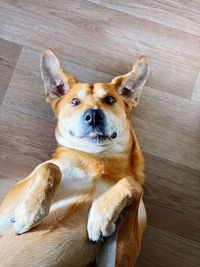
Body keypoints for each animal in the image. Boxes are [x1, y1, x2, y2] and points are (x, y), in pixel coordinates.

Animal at [0, 49, 149, 266]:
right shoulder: (4, 216)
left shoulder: (118, 260)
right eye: (75, 101)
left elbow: (133, 184)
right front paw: (28, 213)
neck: (96, 162)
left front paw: (100, 216)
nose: (93, 116)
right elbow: (51, 167)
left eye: (110, 100)